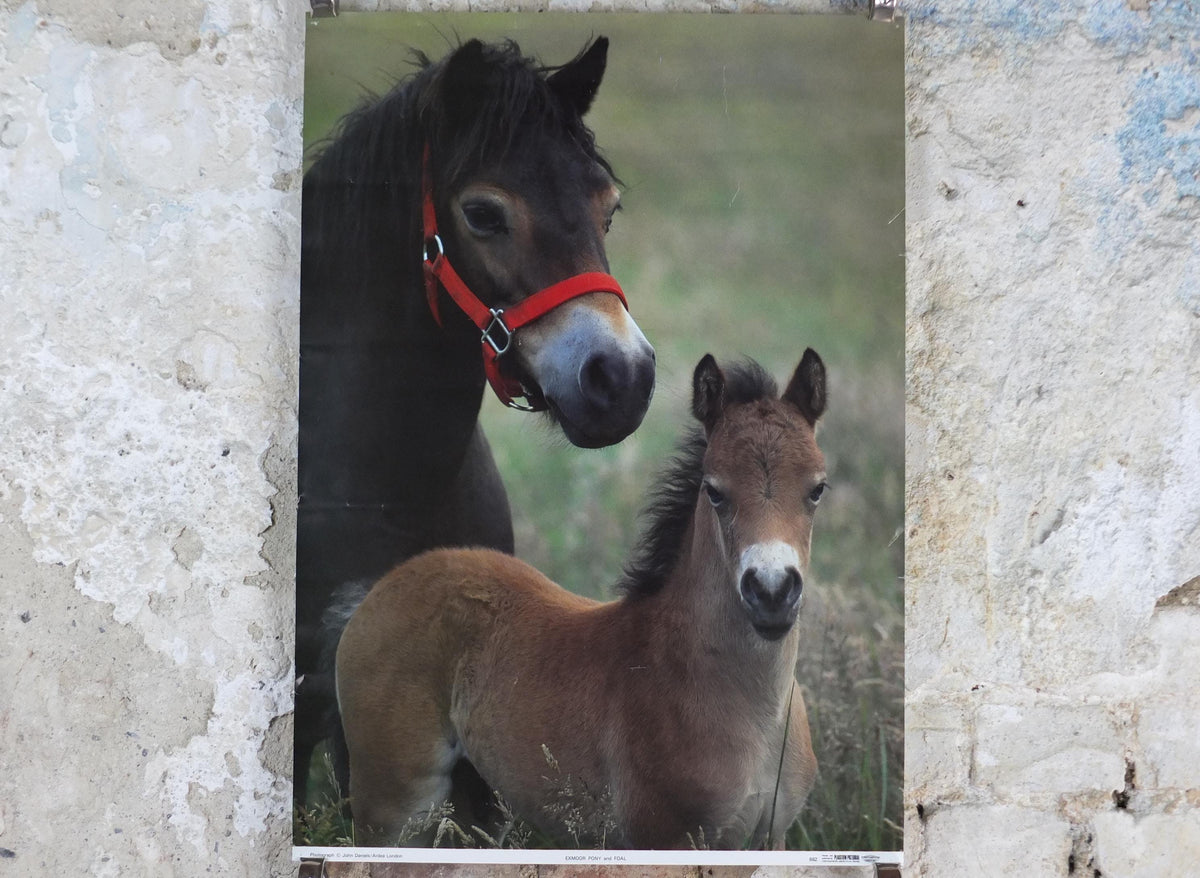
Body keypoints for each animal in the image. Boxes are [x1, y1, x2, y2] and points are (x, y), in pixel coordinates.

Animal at [335, 349, 828, 849]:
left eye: (817, 489)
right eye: (714, 491)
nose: (771, 591)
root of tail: (384, 585)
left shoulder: (772, 837)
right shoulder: (664, 837)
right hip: (392, 806)